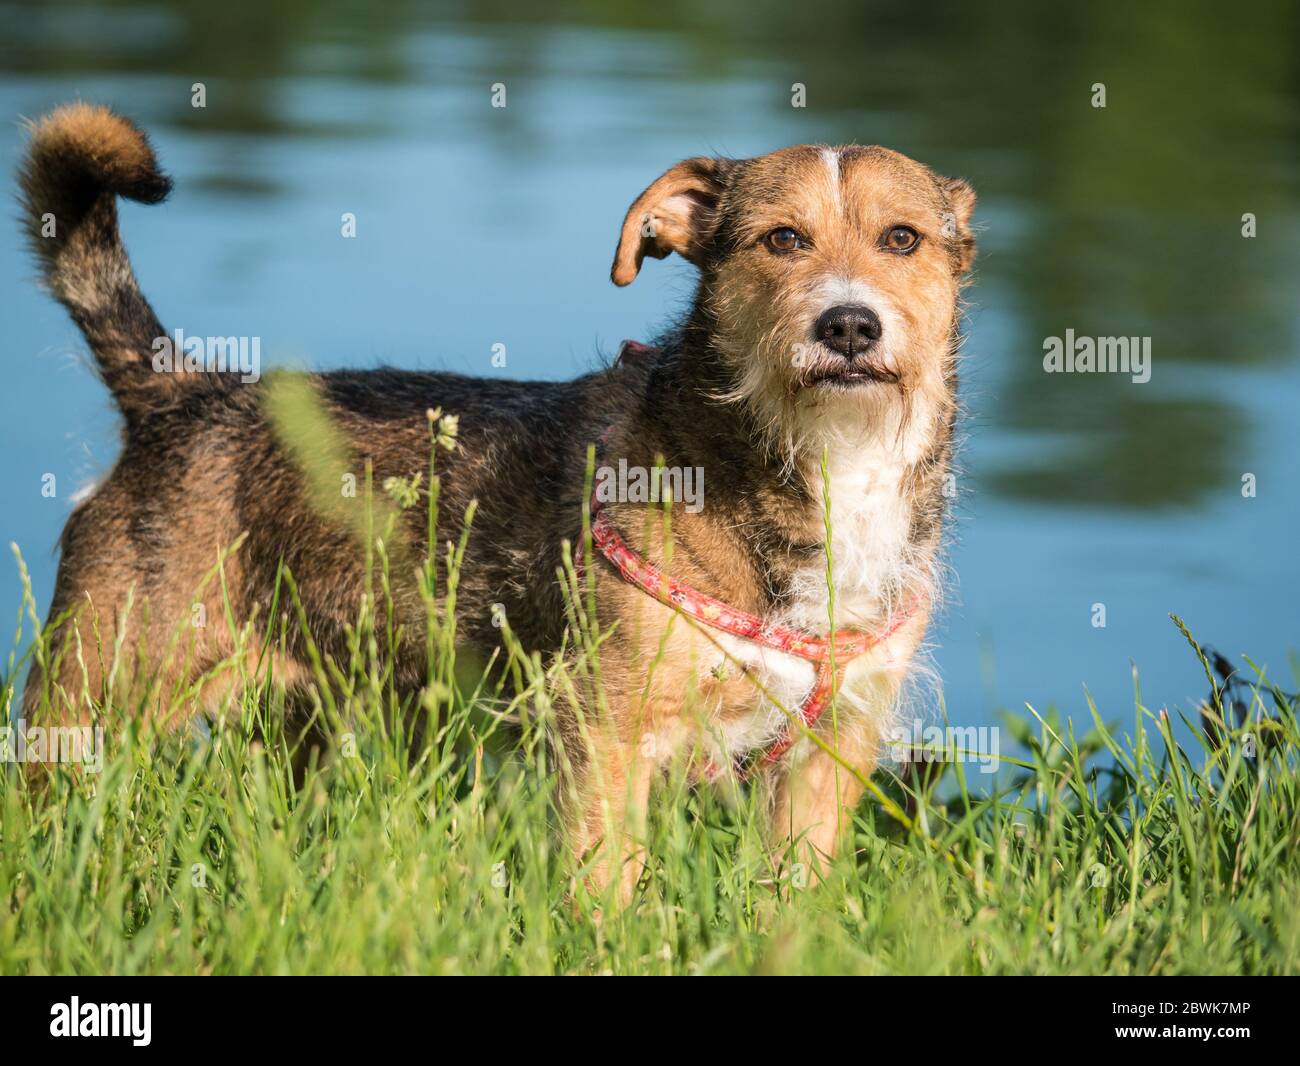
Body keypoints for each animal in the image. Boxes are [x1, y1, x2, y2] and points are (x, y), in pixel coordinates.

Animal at [20, 104, 977, 894]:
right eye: (781, 240)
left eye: (902, 239)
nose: (847, 325)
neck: (821, 462)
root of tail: (183, 392)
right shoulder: (605, 730)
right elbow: (605, 883)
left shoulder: (834, 744)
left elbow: (797, 891)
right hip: (94, 695)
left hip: (301, 712)